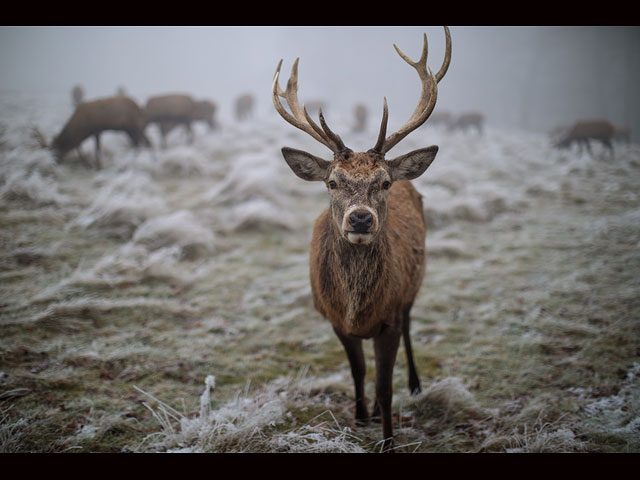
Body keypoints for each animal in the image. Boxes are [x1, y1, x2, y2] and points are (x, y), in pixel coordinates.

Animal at [272, 28, 452, 452]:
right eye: (332, 181)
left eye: (383, 182)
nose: (360, 217)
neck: (358, 309)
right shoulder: (335, 320)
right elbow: (357, 372)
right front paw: (359, 415)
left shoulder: (389, 318)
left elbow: (385, 387)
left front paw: (387, 438)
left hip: (414, 285)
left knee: (411, 325)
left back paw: (416, 385)